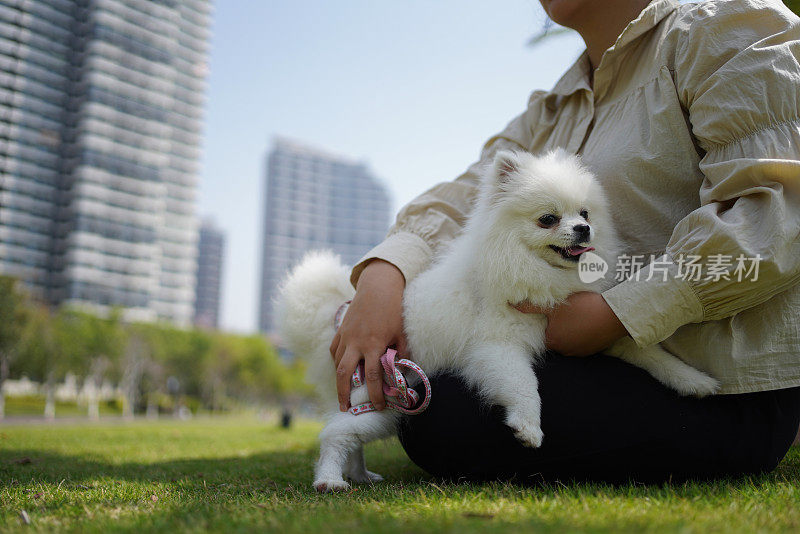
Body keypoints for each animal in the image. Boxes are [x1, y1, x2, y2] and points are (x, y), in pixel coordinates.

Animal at [276, 150, 720, 494]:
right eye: (548, 219)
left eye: (585, 213)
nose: (584, 228)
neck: (535, 271)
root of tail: (338, 317)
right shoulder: (498, 347)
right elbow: (525, 385)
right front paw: (528, 427)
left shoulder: (597, 334)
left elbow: (649, 351)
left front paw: (693, 380)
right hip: (377, 396)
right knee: (335, 435)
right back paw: (330, 480)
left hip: (394, 401)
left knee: (349, 436)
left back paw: (360, 475)